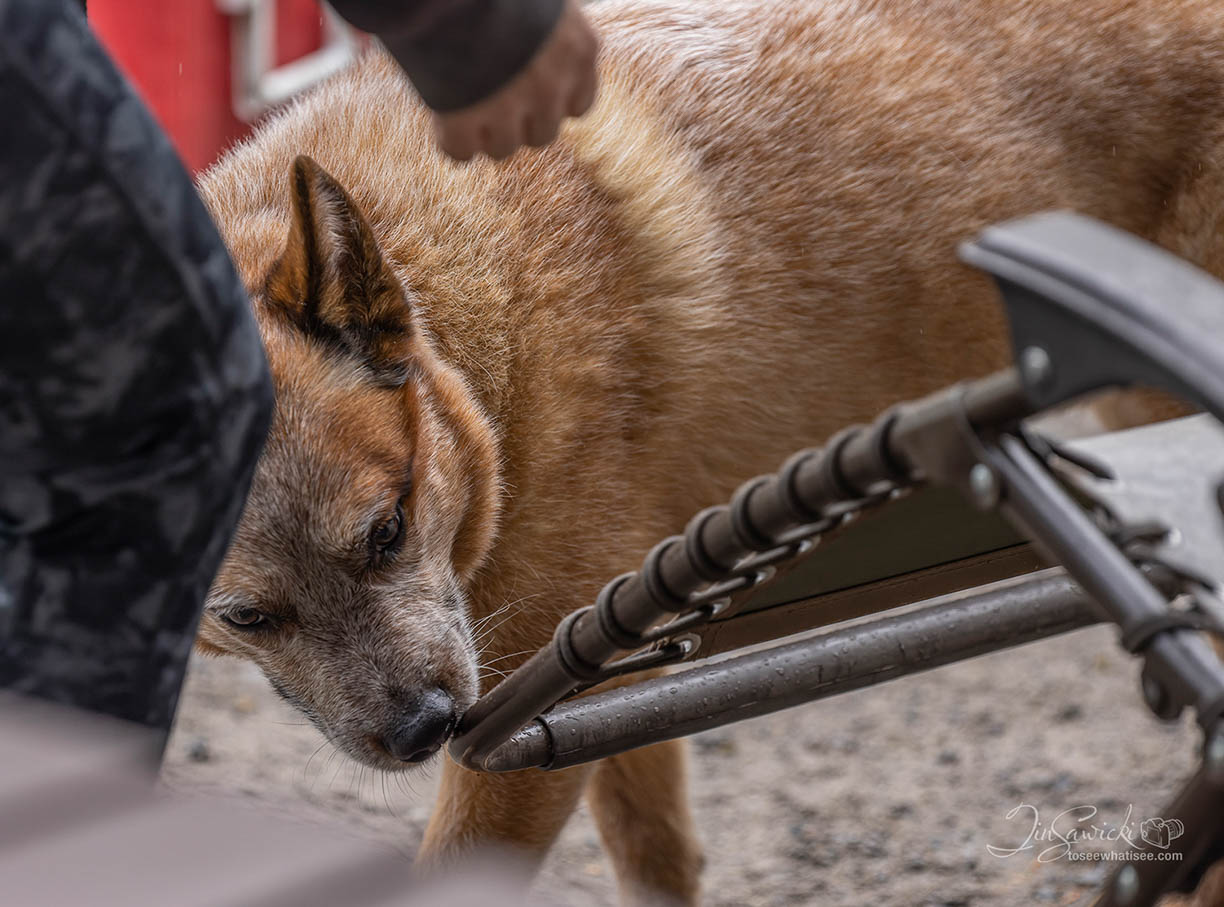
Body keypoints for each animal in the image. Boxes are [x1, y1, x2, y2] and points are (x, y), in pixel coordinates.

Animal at [195, 0, 1224, 902]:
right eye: (247, 616)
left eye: (389, 529)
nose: (424, 730)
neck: (475, 320)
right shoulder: (610, 666)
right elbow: (654, 848)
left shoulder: (525, 720)